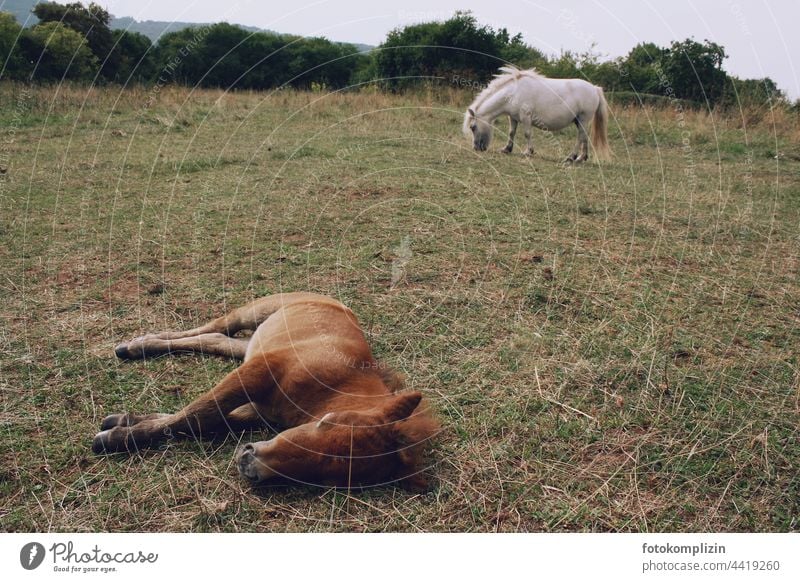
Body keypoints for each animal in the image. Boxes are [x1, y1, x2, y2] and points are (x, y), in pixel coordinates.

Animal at [98, 294, 444, 490]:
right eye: (327, 424)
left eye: (327, 477)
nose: (249, 465)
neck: (338, 383)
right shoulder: (259, 372)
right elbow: (200, 412)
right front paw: (116, 438)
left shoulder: (258, 408)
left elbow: (206, 418)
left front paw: (124, 422)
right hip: (252, 313)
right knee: (214, 327)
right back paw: (137, 345)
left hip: (251, 343)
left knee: (216, 339)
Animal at [462, 66, 612, 164]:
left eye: (473, 127)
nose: (476, 148)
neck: (514, 92)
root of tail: (594, 88)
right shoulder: (513, 117)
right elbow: (511, 132)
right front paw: (507, 149)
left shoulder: (526, 117)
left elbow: (527, 134)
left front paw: (528, 152)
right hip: (579, 121)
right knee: (584, 137)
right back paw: (582, 158)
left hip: (583, 119)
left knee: (580, 137)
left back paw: (571, 157)